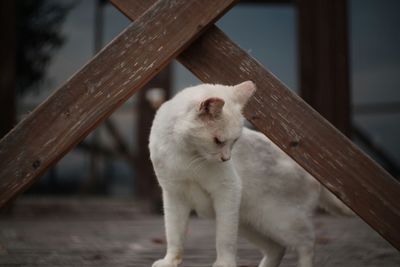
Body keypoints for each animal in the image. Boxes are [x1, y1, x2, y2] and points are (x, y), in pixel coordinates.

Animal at [148, 81, 350, 267]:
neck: (186, 154)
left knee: (307, 242)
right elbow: (174, 235)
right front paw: (169, 262)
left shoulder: (227, 191)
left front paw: (224, 264)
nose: (226, 159)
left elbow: (224, 239)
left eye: (234, 141)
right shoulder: (174, 196)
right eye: (218, 141)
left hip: (279, 221)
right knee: (277, 248)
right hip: (250, 224)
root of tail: (314, 172)